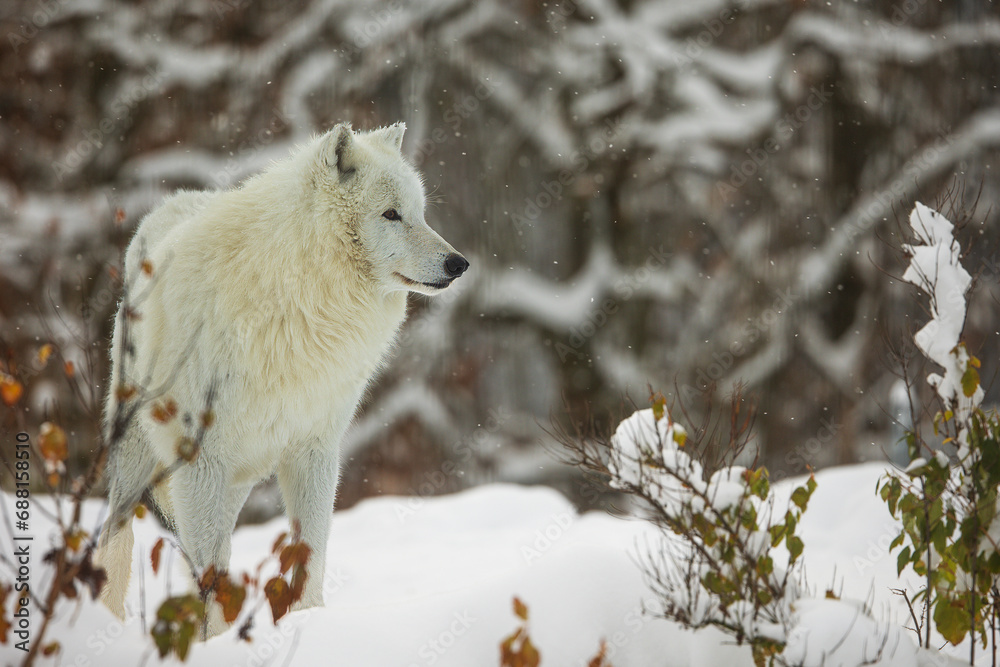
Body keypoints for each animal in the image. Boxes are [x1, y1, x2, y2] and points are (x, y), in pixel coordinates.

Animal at [95, 123, 468, 632]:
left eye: (420, 214)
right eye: (391, 214)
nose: (459, 264)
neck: (303, 304)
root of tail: (170, 206)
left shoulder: (315, 448)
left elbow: (310, 553)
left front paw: (307, 623)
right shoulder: (200, 458)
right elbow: (209, 572)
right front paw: (217, 640)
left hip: (237, 480)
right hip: (141, 456)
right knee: (115, 538)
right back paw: (105, 622)